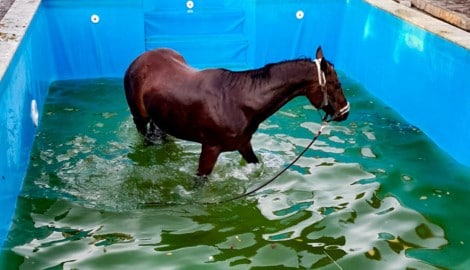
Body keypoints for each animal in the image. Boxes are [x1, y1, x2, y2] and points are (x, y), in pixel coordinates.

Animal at [125, 46, 348, 177]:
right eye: (336, 85)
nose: (345, 112)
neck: (237, 102)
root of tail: (140, 58)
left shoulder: (243, 144)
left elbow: (255, 165)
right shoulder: (210, 149)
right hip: (140, 118)